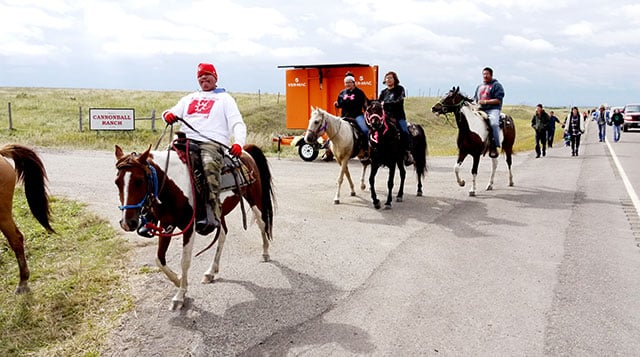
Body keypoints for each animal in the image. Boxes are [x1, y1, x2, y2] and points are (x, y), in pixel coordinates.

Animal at [115, 143, 276, 308]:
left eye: (139, 181)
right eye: (117, 182)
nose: (127, 223)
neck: (173, 186)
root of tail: (244, 150)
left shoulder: (189, 227)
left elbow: (185, 261)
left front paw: (180, 295)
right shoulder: (167, 224)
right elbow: (159, 259)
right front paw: (178, 281)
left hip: (254, 200)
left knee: (262, 224)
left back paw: (265, 253)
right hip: (219, 213)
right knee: (223, 234)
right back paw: (211, 272)